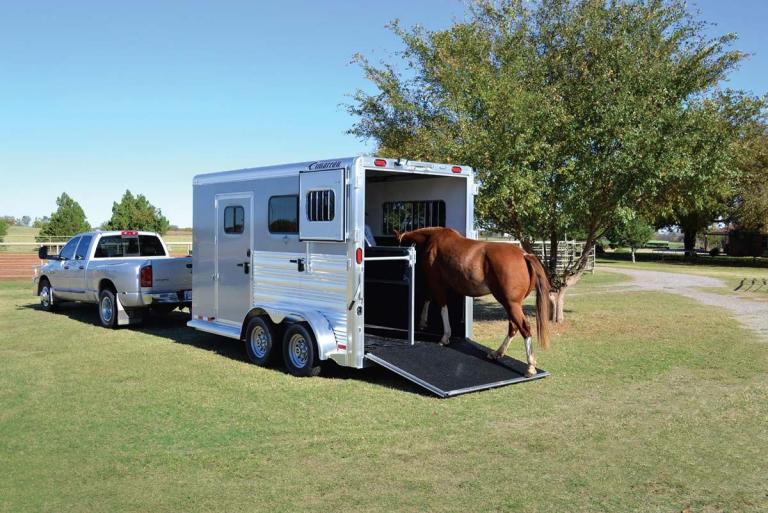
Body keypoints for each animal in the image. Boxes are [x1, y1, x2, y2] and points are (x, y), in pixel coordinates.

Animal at [396, 228, 552, 376]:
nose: (402, 275)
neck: (434, 239)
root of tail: (524, 255)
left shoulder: (437, 283)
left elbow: (442, 307)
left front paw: (444, 337)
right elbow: (428, 298)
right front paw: (423, 322)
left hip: (511, 303)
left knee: (524, 327)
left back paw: (530, 367)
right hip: (511, 304)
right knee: (513, 327)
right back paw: (497, 353)